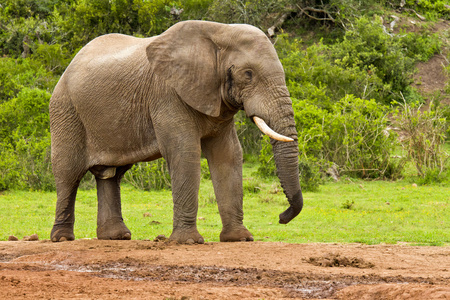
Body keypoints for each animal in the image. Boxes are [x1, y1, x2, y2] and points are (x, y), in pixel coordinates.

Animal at [49, 19, 304, 244]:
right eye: (248, 74)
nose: (281, 218)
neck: (219, 32)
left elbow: (228, 155)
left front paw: (240, 239)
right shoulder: (167, 93)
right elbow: (185, 152)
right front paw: (188, 241)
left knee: (112, 175)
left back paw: (116, 236)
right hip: (65, 110)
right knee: (68, 174)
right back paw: (62, 238)